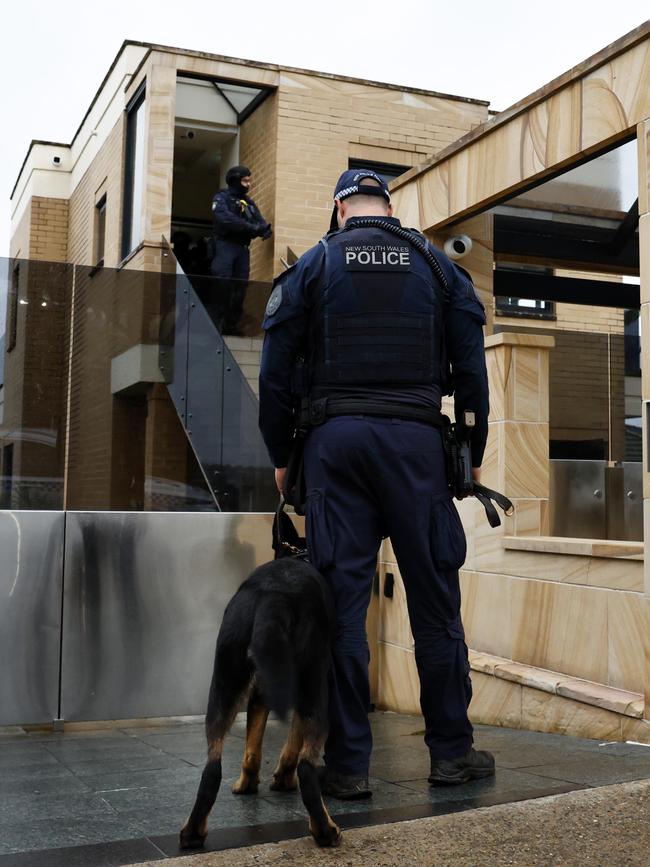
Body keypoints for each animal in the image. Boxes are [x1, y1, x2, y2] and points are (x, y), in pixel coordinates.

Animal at [177, 508, 340, 848]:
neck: (299, 556)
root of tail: (274, 597)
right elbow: (293, 743)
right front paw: (283, 777)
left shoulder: (261, 692)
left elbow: (252, 748)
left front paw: (248, 783)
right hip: (315, 689)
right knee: (307, 767)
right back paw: (325, 829)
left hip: (224, 684)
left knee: (212, 768)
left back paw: (193, 831)